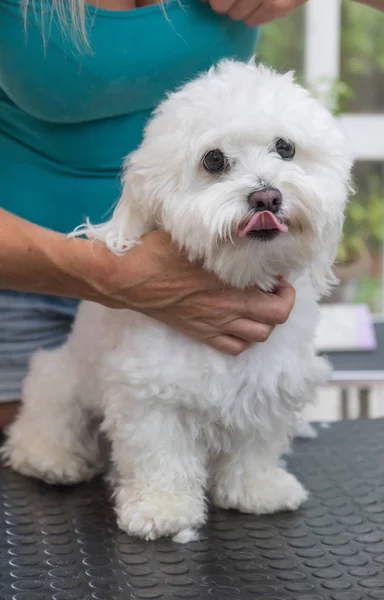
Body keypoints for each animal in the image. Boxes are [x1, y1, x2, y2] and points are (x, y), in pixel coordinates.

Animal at [2, 59, 352, 540]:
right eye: (214, 159)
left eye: (285, 147)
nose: (267, 195)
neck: (240, 275)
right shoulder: (151, 395)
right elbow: (160, 456)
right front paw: (161, 509)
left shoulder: (269, 386)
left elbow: (255, 449)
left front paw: (257, 490)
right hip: (60, 380)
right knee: (45, 424)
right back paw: (53, 459)